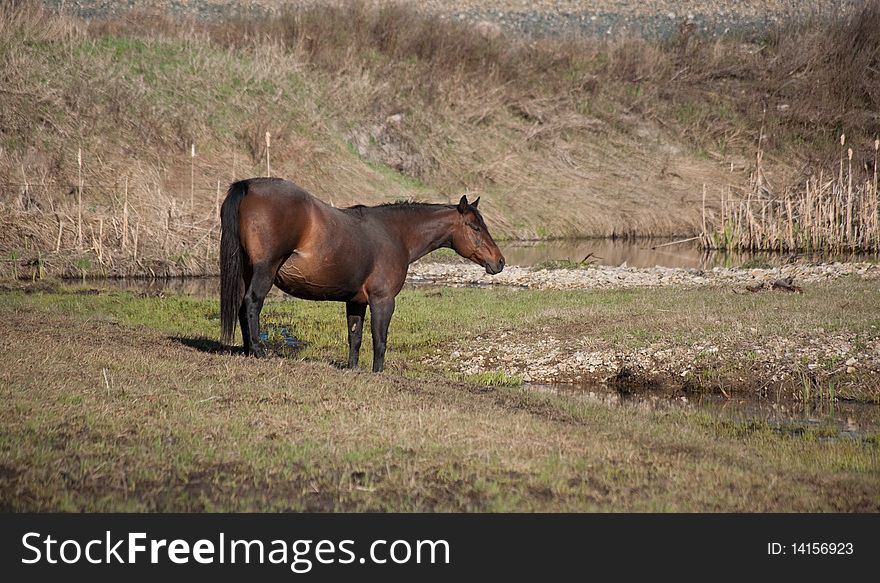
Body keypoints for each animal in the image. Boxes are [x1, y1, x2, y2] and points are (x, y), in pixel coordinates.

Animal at [217, 176, 506, 372]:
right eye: (475, 227)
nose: (500, 261)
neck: (396, 234)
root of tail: (249, 185)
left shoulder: (356, 301)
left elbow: (354, 337)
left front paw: (353, 368)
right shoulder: (383, 300)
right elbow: (380, 340)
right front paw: (378, 372)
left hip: (246, 271)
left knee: (242, 306)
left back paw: (247, 350)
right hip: (264, 270)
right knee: (252, 303)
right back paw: (257, 350)